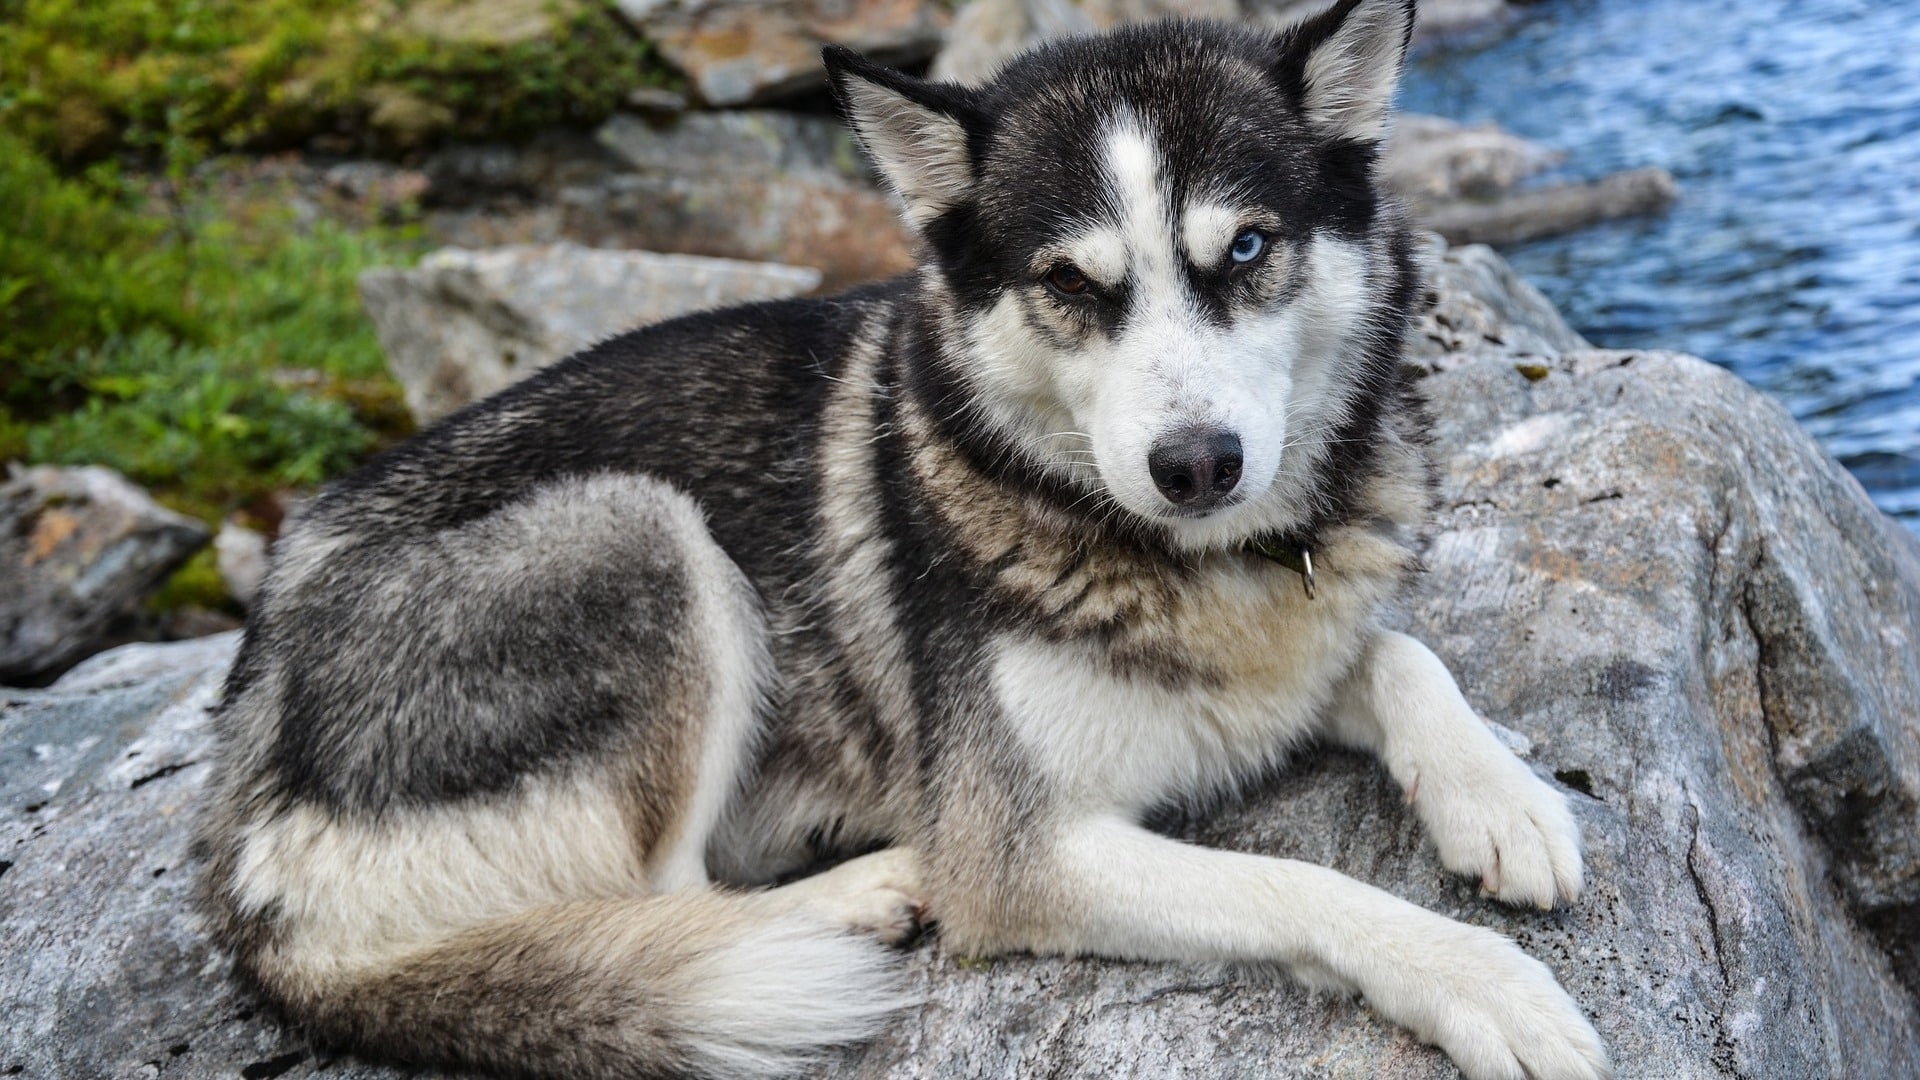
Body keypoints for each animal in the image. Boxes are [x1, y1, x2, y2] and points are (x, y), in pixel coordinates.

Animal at [191, 4, 1605, 1068]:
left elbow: (1395, 653)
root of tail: (241, 816)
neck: (1203, 565)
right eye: (1069, 283)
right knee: (666, 903)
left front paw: (1501, 798)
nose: (1197, 465)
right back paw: (850, 896)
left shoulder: (1300, 638)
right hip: (637, 531)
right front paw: (1484, 982)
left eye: (1248, 247)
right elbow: (1299, 888)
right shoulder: (1023, 853)